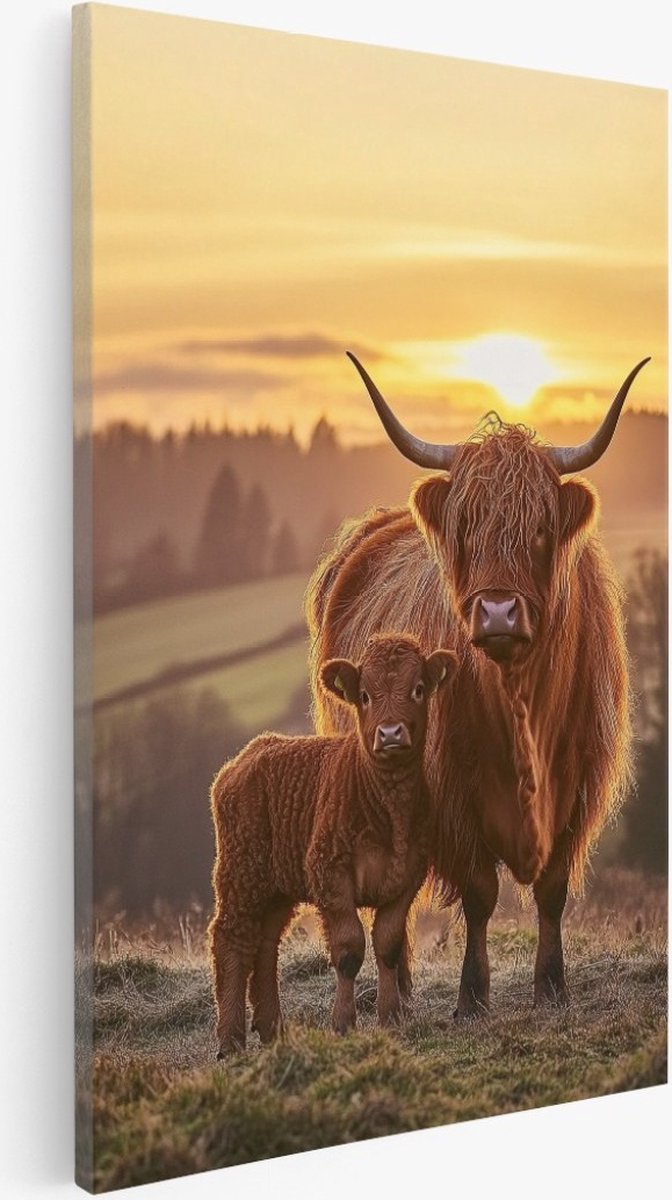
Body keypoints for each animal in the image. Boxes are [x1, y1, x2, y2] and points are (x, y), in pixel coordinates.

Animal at [209, 632, 457, 1054]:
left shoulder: (407, 877)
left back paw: (272, 1028)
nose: (390, 733)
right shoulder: (330, 874)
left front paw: (391, 1017)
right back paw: (231, 1040)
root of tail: (251, 751)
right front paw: (343, 1023)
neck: (388, 809)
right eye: (365, 696)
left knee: (265, 944)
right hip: (242, 872)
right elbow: (349, 949)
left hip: (277, 885)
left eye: (418, 689)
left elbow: (388, 945)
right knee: (232, 938)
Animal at [305, 351, 649, 1016]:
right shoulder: (451, 791)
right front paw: (472, 996)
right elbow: (480, 891)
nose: (496, 613)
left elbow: (552, 890)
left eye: (540, 528)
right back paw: (399, 991)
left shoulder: (577, 783)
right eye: (465, 528)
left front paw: (552, 986)